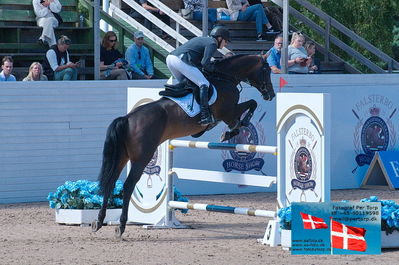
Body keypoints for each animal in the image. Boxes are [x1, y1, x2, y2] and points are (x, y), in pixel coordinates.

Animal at [91, 54, 276, 237]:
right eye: (266, 70)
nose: (271, 95)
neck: (224, 77)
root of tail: (127, 118)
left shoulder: (227, 114)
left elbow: (248, 107)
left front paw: (232, 130)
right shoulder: (228, 112)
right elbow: (251, 104)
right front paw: (234, 129)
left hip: (122, 156)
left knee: (110, 182)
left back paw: (99, 222)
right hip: (142, 157)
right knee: (128, 185)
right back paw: (121, 226)